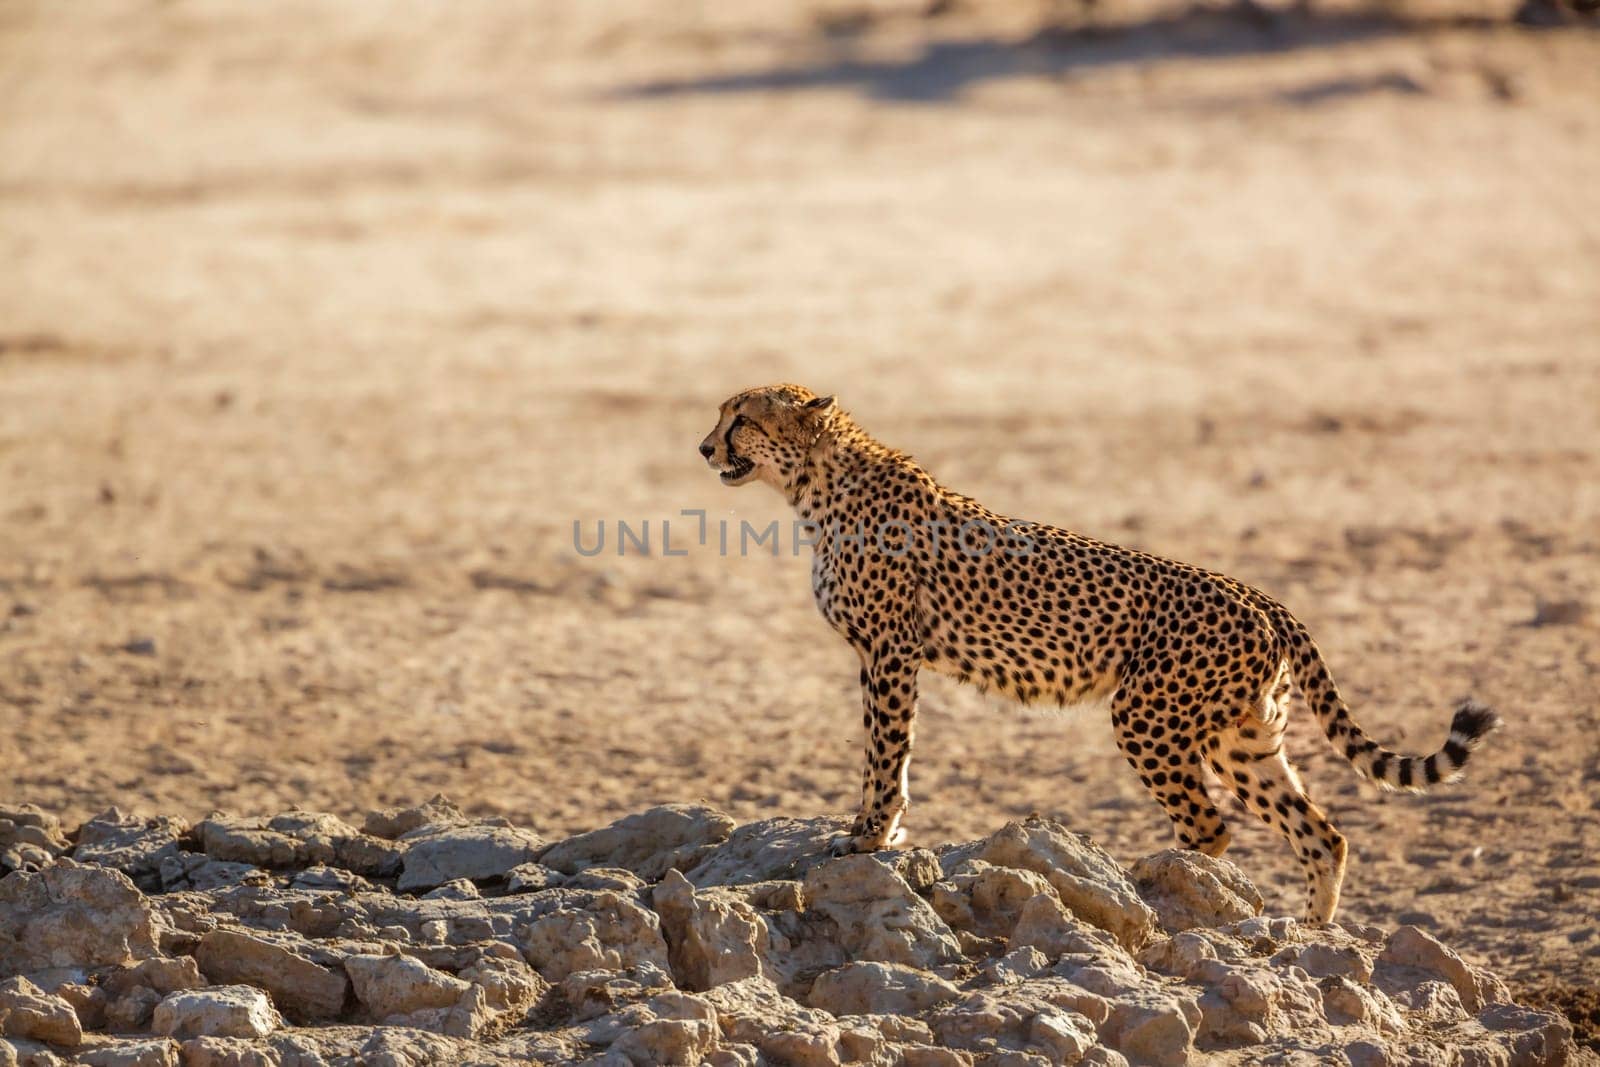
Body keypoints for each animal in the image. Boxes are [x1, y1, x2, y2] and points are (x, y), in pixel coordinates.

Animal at [697, 385, 1497, 927]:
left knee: (1211, 825)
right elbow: (887, 751)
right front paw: (876, 830)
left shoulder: (890, 652)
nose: (705, 448)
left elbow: (886, 751)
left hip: (1146, 714)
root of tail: (1258, 593)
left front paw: (870, 834)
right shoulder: (889, 654)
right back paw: (1308, 935)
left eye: (743, 418)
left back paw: (1160, 898)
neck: (816, 485)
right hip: (1242, 737)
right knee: (1321, 833)